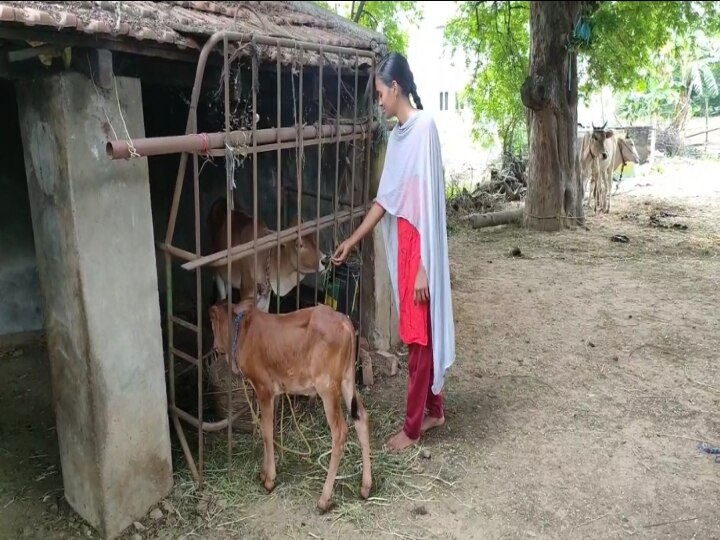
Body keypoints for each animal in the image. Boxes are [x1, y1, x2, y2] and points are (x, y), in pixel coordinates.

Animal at [207, 298, 372, 512]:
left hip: (327, 387)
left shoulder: (263, 388)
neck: (243, 333)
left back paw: (324, 499)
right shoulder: (274, 393)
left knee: (340, 432)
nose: (214, 346)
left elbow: (266, 432)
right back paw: (366, 487)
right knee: (361, 417)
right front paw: (264, 471)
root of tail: (344, 321)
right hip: (347, 380)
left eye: (211, 322)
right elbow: (269, 428)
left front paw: (269, 480)